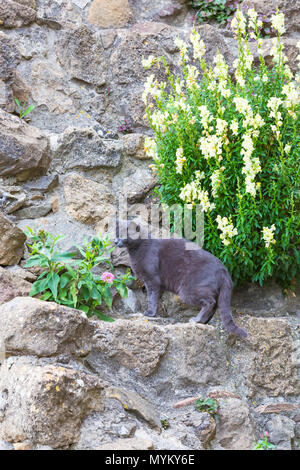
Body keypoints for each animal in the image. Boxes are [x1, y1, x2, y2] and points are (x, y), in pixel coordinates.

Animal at [116, 221, 247, 338]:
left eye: (123, 234)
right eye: (116, 233)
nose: (116, 241)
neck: (136, 249)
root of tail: (224, 270)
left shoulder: (152, 280)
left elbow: (151, 297)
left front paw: (150, 313)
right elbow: (156, 297)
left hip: (188, 290)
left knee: (210, 303)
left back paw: (196, 320)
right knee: (215, 305)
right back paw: (203, 322)